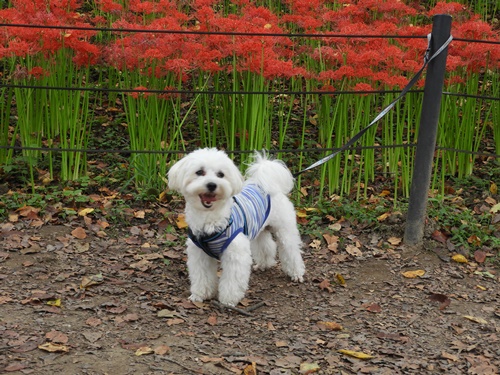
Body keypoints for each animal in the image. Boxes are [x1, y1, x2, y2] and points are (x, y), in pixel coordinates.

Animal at [168, 148, 304, 306]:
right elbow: (202, 276)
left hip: (284, 229)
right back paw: (263, 264)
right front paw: (200, 294)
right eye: (199, 172)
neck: (210, 219)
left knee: (291, 250)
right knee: (266, 245)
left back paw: (296, 273)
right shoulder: (199, 254)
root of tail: (262, 183)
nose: (212, 185)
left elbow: (232, 279)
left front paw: (228, 300)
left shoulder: (235, 253)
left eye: (221, 174)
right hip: (259, 229)